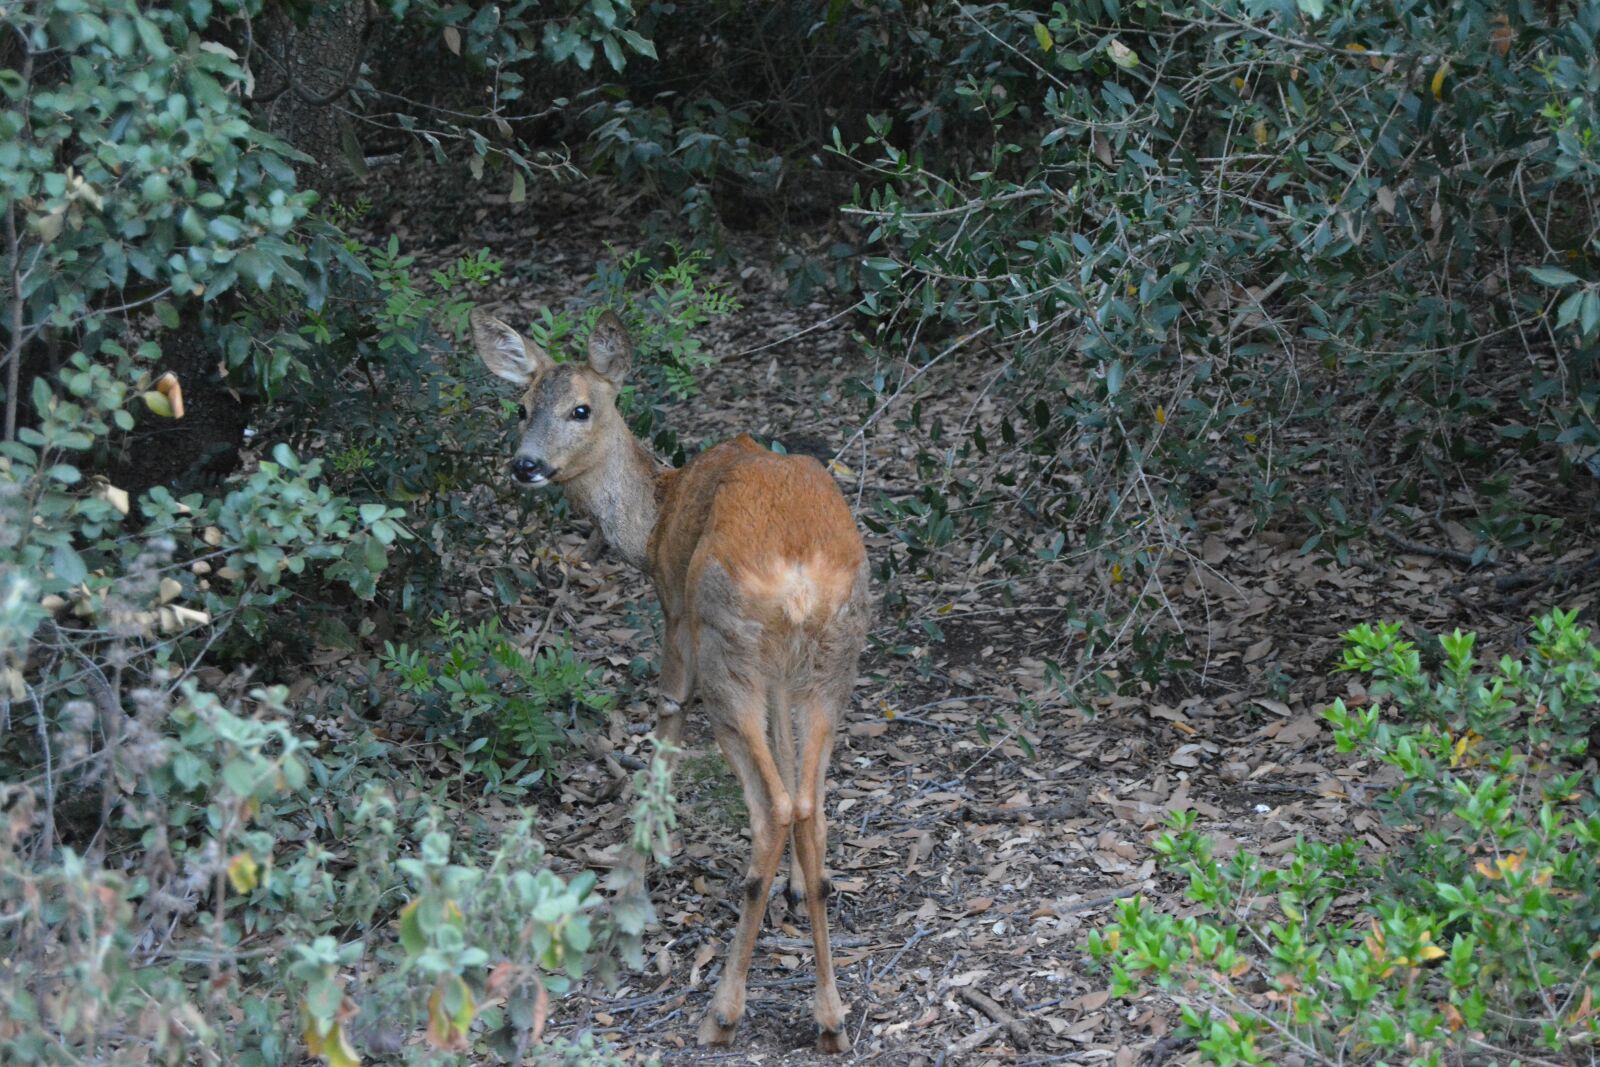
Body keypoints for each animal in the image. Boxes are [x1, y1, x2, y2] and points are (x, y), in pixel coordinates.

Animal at [470, 307, 870, 1052]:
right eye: (520, 407)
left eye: (582, 408)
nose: (525, 465)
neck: (654, 518)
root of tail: (800, 577)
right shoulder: (780, 677)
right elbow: (789, 757)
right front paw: (796, 887)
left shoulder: (674, 620)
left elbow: (663, 728)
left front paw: (632, 878)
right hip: (833, 659)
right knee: (810, 804)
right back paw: (830, 1012)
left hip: (723, 646)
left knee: (774, 807)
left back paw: (723, 1011)